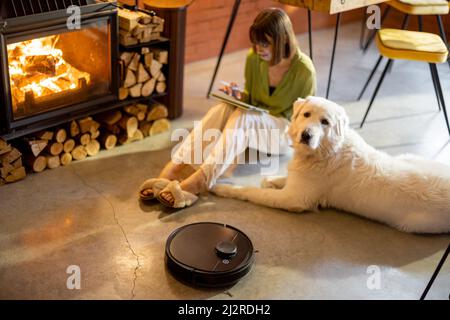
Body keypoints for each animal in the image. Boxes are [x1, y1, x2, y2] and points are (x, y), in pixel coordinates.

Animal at [213, 95, 450, 232]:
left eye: (324, 122)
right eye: (306, 114)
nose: (306, 135)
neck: (324, 151)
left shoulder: (293, 199)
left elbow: (254, 193)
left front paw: (223, 189)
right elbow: (280, 178)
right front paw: (271, 179)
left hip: (415, 224)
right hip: (408, 156)